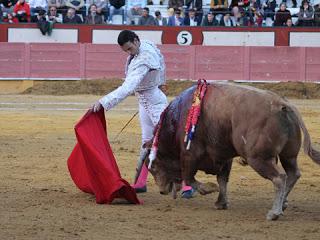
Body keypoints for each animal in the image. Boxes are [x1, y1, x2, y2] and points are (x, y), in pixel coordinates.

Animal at [144, 81, 320, 220]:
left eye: (153, 166)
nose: (161, 191)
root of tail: (282, 104)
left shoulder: (189, 154)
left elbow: (190, 177)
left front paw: (208, 188)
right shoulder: (224, 156)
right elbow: (222, 179)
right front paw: (220, 202)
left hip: (258, 158)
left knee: (279, 178)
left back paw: (274, 212)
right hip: (288, 155)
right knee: (293, 174)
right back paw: (283, 204)